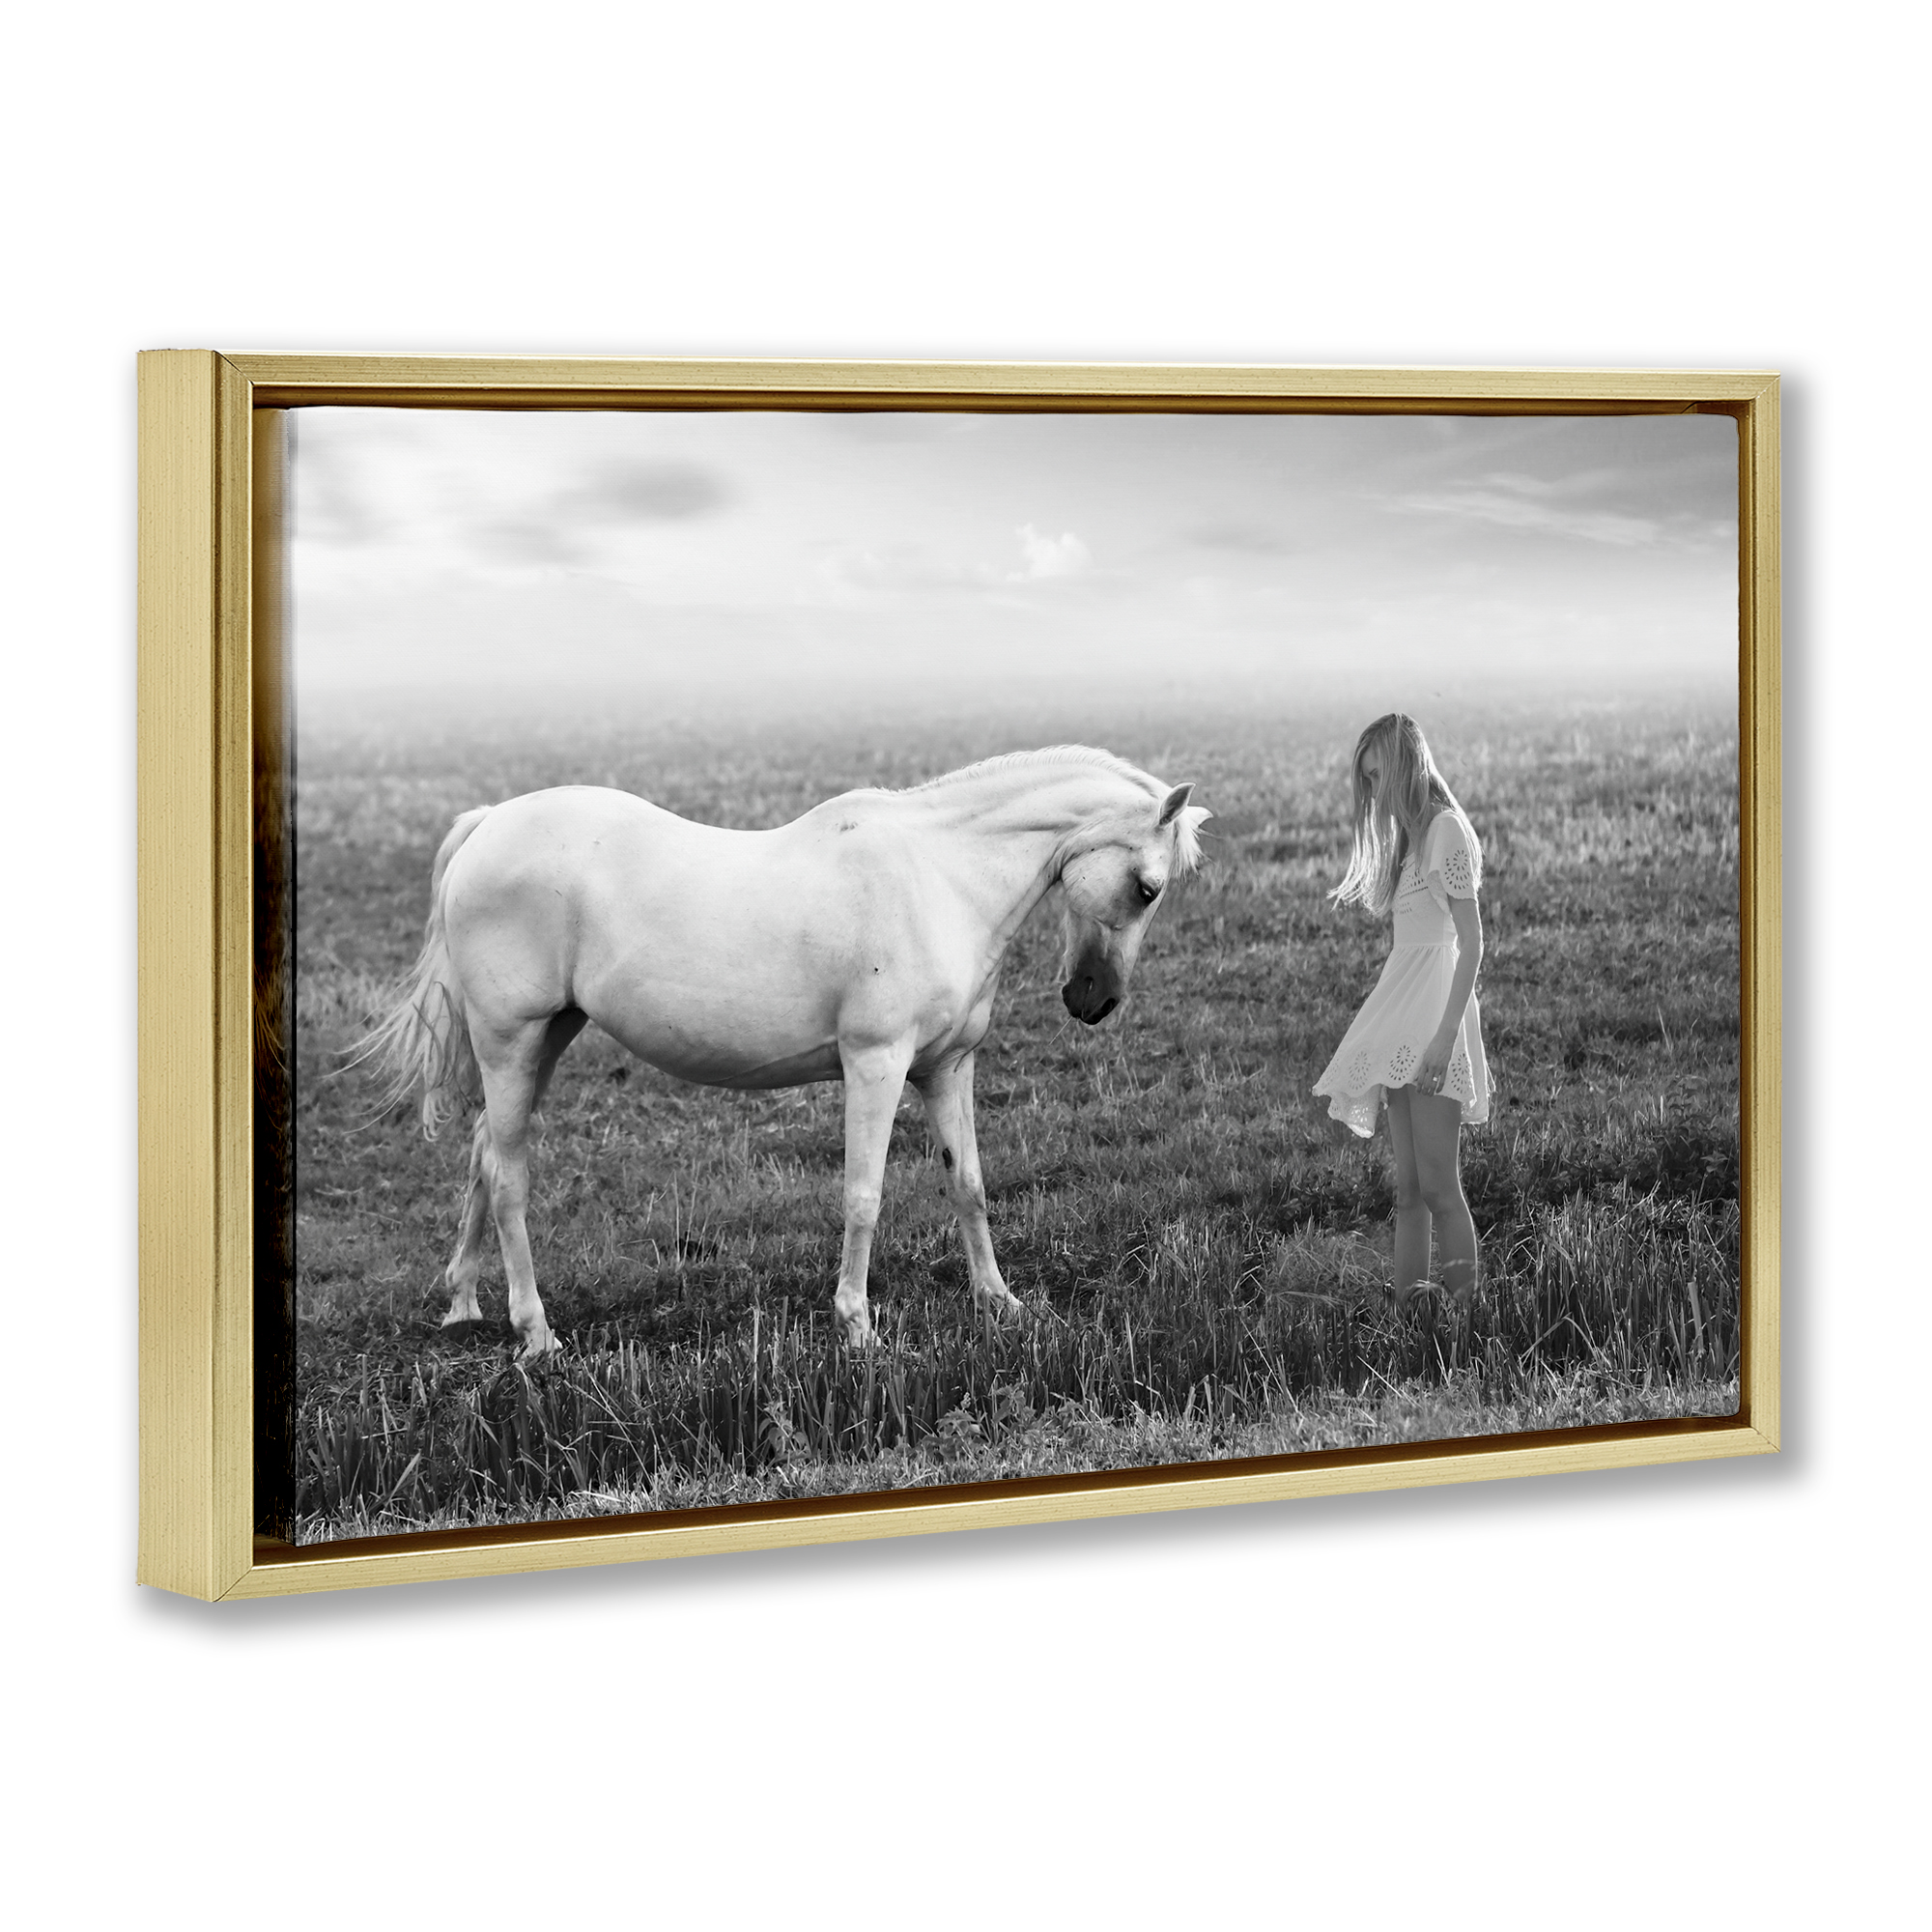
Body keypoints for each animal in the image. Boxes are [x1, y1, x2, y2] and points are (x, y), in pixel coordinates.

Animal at [356, 746, 1211, 1362]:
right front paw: (858, 1326)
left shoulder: (946, 1068)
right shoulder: (876, 1064)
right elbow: (864, 1197)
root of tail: (488, 824)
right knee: (508, 1179)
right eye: (1147, 887)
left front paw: (1000, 1303)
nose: (1094, 1001)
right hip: (510, 1041)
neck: (939, 877)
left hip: (547, 1038)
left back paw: (465, 1303)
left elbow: (968, 1184)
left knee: (484, 1154)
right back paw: (536, 1334)